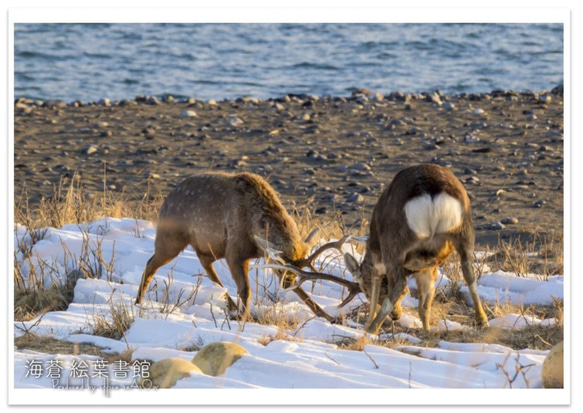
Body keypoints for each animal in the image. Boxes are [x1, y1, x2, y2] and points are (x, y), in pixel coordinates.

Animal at [134, 170, 340, 318]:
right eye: (281, 266)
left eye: (299, 267)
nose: (287, 283)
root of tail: (165, 203)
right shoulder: (235, 251)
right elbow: (245, 289)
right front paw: (244, 318)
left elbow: (301, 292)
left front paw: (328, 317)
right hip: (170, 238)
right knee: (150, 263)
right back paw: (138, 302)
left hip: (208, 246)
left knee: (206, 265)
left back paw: (231, 305)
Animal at [342, 163, 492, 334]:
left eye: (365, 290)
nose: (396, 315)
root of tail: (432, 191)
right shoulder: (427, 267)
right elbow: (424, 306)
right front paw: (426, 331)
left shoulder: (379, 260)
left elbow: (377, 288)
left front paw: (368, 325)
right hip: (464, 233)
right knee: (469, 274)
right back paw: (483, 321)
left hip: (395, 245)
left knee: (400, 284)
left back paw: (373, 329)